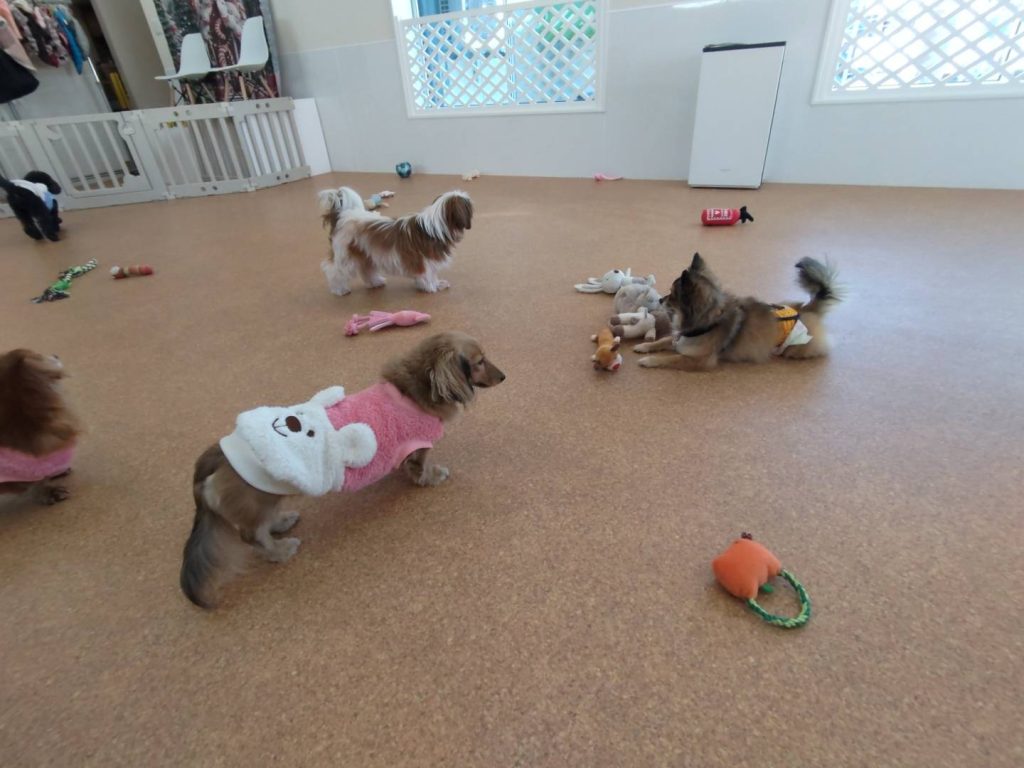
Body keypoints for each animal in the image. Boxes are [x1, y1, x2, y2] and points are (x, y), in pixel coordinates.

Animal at [180, 331, 505, 608]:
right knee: (253, 536)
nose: (504, 376)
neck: (415, 392)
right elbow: (421, 467)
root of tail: (217, 454)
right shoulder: (418, 445)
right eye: (479, 362)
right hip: (259, 499)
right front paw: (432, 477)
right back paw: (280, 550)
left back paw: (281, 523)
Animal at [318, 186, 473, 295]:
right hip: (345, 255)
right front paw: (431, 286)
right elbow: (428, 274)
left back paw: (375, 282)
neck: (434, 227)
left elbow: (431, 274)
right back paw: (339, 289)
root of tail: (343, 215)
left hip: (366, 253)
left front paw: (435, 284)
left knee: (366, 270)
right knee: (334, 271)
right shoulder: (424, 261)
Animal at [635, 253, 842, 370]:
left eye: (672, 295)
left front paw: (649, 360)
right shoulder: (680, 339)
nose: (660, 299)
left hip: (797, 348)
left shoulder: (700, 360)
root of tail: (806, 309)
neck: (708, 323)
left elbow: (671, 358)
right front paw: (644, 346)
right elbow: (663, 340)